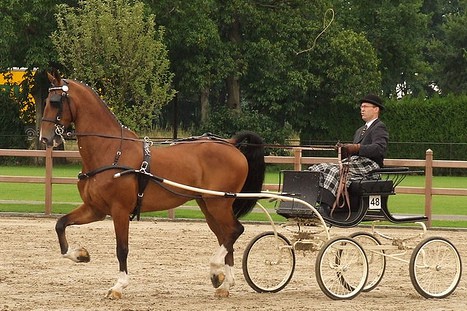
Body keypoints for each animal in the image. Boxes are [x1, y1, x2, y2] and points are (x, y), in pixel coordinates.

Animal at [39, 70, 266, 300]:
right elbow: (60, 224)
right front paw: (80, 255)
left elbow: (122, 249)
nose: (44, 137)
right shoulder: (95, 209)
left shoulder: (120, 211)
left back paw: (215, 270)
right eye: (47, 101)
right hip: (208, 205)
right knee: (225, 236)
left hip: (217, 204)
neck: (112, 151)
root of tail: (231, 144)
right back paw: (224, 283)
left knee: (234, 231)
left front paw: (119, 286)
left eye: (55, 102)